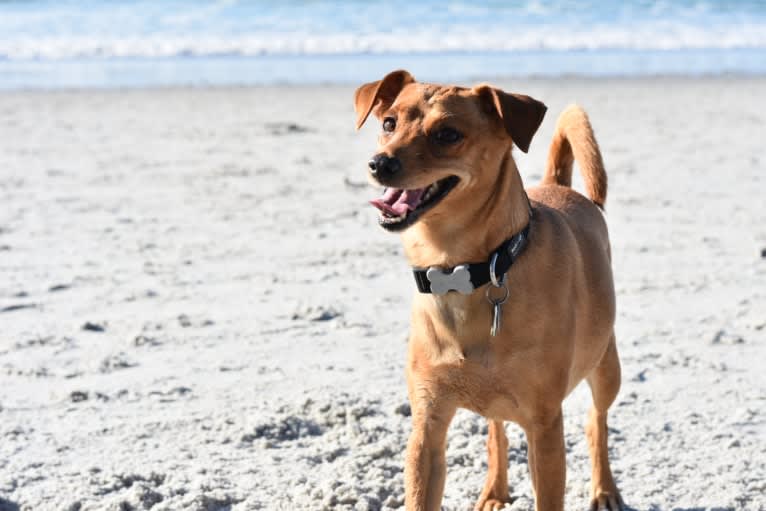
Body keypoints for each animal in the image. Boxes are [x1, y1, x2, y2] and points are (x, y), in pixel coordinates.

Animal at [354, 71, 624, 511]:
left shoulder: (545, 427)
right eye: (389, 123)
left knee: (595, 421)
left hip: (605, 366)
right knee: (496, 429)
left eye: (447, 134)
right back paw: (495, 490)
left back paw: (604, 490)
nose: (380, 163)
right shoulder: (427, 428)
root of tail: (558, 187)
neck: (461, 271)